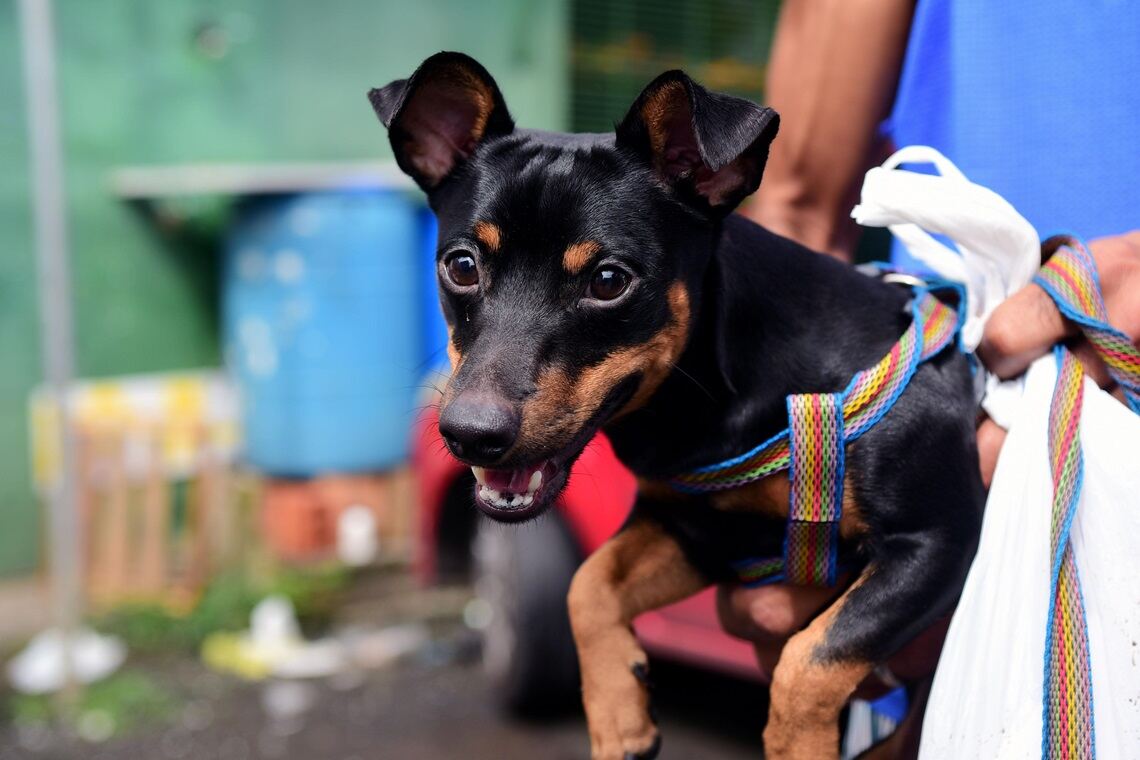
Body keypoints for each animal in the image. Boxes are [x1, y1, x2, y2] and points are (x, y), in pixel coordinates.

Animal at [369, 50, 984, 756]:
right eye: (461, 266)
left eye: (609, 280)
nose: (469, 434)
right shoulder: (698, 529)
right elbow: (588, 584)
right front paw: (619, 719)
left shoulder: (938, 540)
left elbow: (809, 659)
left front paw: (795, 744)